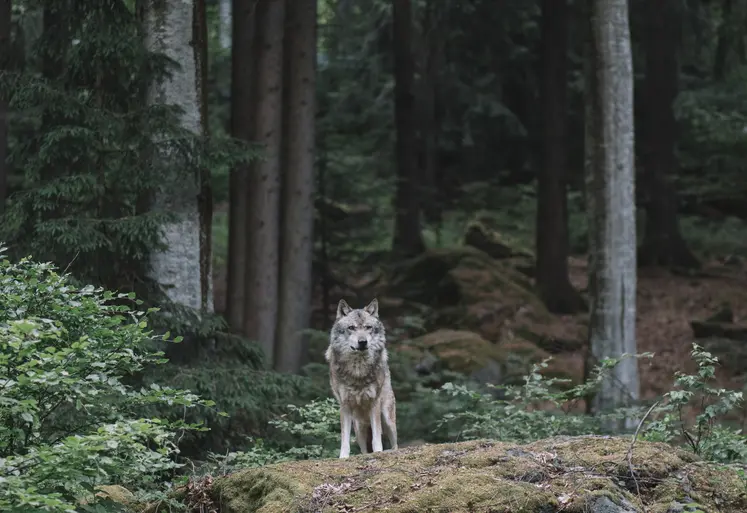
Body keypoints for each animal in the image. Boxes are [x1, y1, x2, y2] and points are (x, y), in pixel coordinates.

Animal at [325, 298, 398, 459]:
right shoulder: (344, 405)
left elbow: (377, 438)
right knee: (364, 450)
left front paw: (378, 452)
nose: (363, 342)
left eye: (368, 327)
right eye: (351, 328)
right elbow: (344, 439)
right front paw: (343, 457)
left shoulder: (374, 403)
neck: (357, 369)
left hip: (387, 419)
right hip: (359, 430)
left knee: (395, 444)